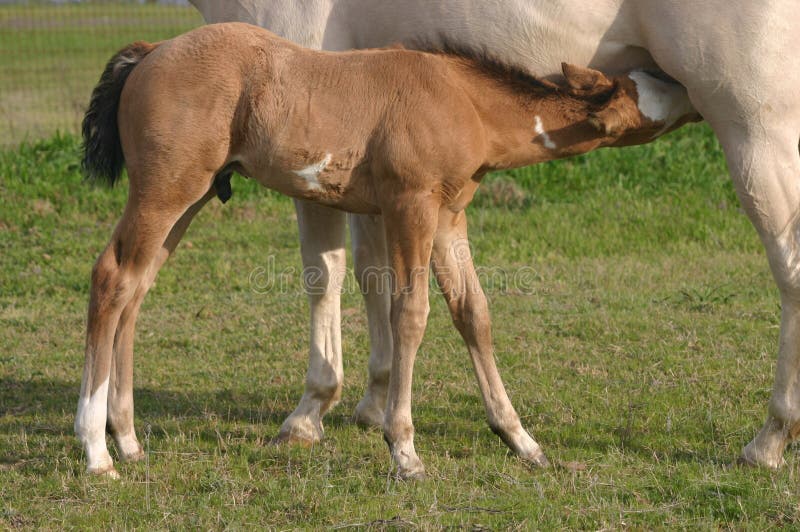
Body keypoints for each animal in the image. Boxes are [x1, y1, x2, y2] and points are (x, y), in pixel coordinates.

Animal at [78, 22, 696, 478]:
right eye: (652, 88)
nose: (685, 81)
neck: (463, 101)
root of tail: (151, 52)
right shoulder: (409, 206)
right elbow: (410, 315)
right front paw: (404, 451)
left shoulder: (449, 217)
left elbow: (473, 313)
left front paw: (521, 440)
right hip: (165, 190)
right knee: (111, 277)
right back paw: (97, 452)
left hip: (192, 196)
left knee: (136, 290)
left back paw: (128, 441)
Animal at [183, 0, 800, 470]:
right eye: (633, 85)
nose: (668, 83)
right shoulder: (379, 172)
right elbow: (378, 276)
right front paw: (375, 402)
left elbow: (327, 275)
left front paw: (312, 411)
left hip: (756, 128)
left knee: (790, 270)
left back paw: (769, 439)